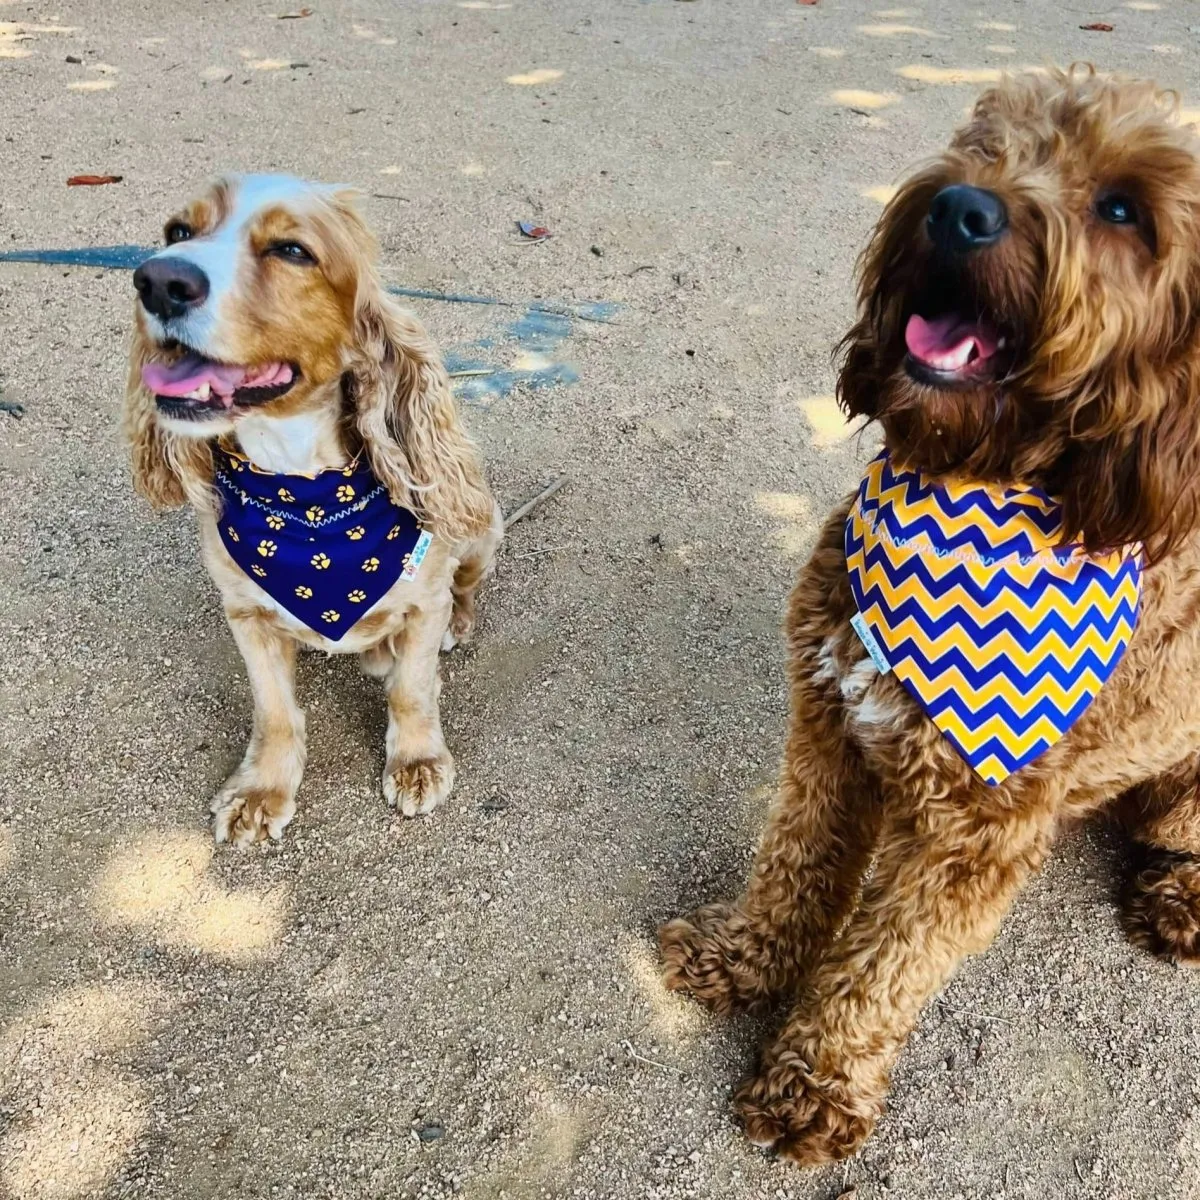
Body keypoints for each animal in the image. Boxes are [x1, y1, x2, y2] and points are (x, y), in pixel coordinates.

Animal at [129, 174, 504, 849]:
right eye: (178, 231)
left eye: (293, 250)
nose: (157, 280)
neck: (301, 492)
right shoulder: (246, 614)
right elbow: (274, 711)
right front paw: (260, 792)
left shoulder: (423, 600)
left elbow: (413, 691)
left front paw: (417, 762)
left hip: (484, 530)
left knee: (460, 595)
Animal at [662, 63, 1200, 1161]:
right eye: (985, 140)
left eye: (1124, 208)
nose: (961, 208)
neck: (965, 490)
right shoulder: (829, 731)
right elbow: (797, 867)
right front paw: (746, 959)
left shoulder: (974, 838)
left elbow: (885, 968)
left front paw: (814, 1084)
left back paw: (1179, 901)